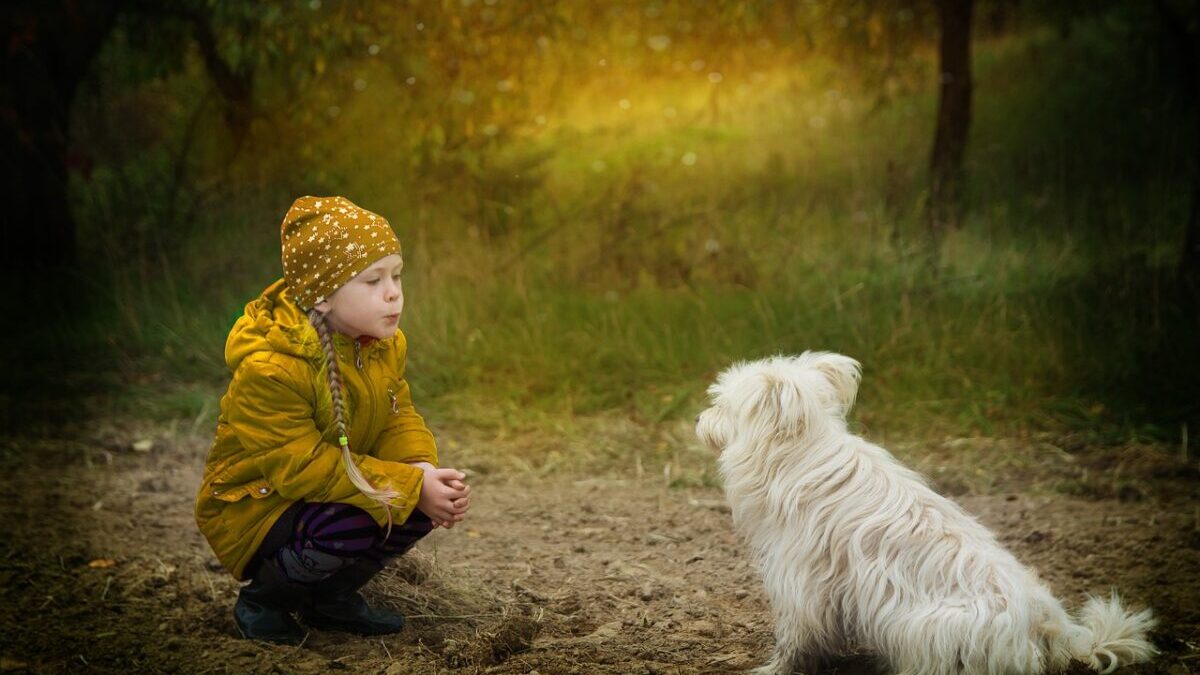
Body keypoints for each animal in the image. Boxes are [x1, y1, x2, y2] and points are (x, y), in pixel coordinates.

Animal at [700, 353, 1156, 672]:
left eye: (721, 405)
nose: (700, 420)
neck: (802, 456)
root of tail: (1054, 629)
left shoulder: (802, 586)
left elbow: (794, 641)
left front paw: (773, 669)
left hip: (922, 625)